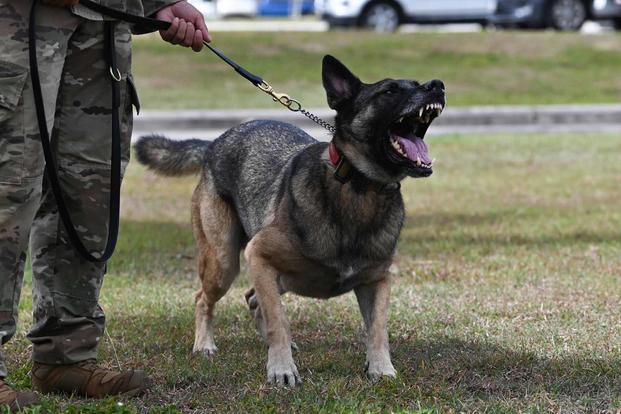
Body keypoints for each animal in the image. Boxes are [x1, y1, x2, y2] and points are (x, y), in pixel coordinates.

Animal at [136, 54, 446, 384]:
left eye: (417, 83)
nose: (437, 85)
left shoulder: (377, 280)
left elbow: (377, 329)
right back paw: (205, 344)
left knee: (252, 297)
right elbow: (278, 321)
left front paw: (381, 368)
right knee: (205, 298)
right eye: (389, 91)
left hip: (278, 276)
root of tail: (214, 143)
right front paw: (281, 368)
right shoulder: (259, 255)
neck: (359, 188)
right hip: (225, 263)